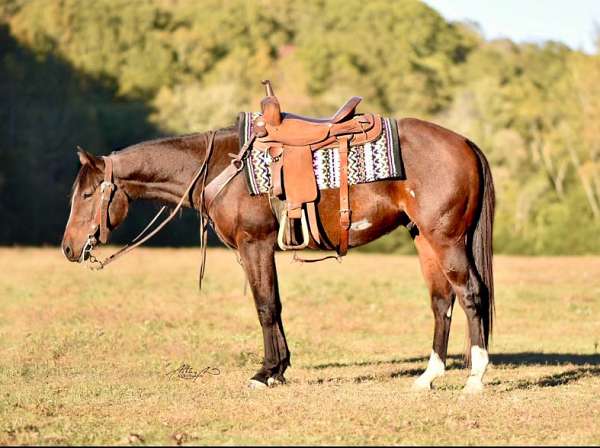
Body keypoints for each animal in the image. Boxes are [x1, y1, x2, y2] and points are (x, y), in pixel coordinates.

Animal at [61, 118, 494, 392]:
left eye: (87, 194)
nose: (68, 247)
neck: (222, 169)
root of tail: (465, 143)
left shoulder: (255, 244)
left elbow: (265, 306)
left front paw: (265, 372)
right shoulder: (256, 250)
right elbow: (275, 304)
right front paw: (280, 368)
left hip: (446, 239)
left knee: (471, 294)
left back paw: (474, 378)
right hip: (425, 240)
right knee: (442, 302)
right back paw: (428, 377)